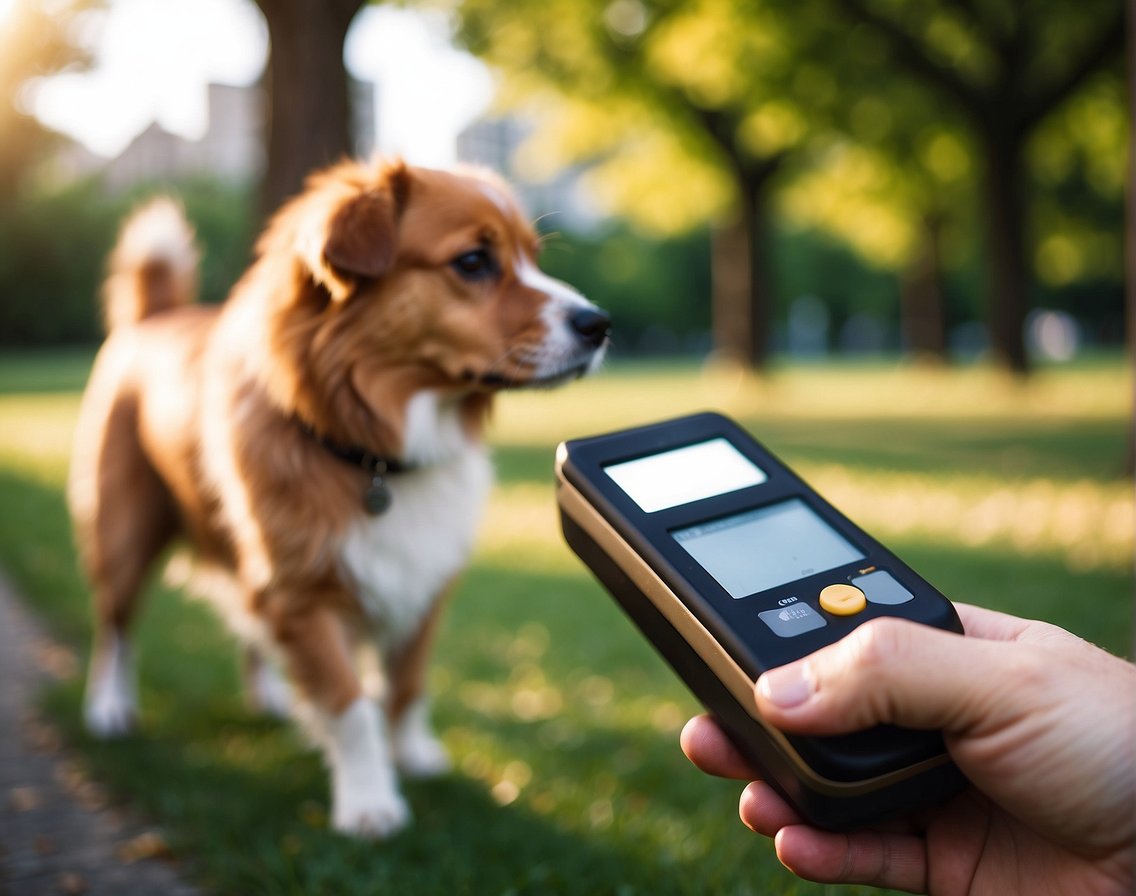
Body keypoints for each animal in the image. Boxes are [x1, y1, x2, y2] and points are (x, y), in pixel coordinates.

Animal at [66, 157, 608, 835]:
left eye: (533, 257)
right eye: (473, 261)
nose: (599, 324)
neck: (377, 459)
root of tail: (155, 316)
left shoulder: (423, 580)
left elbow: (406, 685)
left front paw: (413, 755)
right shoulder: (301, 592)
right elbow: (350, 704)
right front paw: (370, 801)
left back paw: (269, 696)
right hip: (125, 531)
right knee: (115, 624)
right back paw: (110, 708)